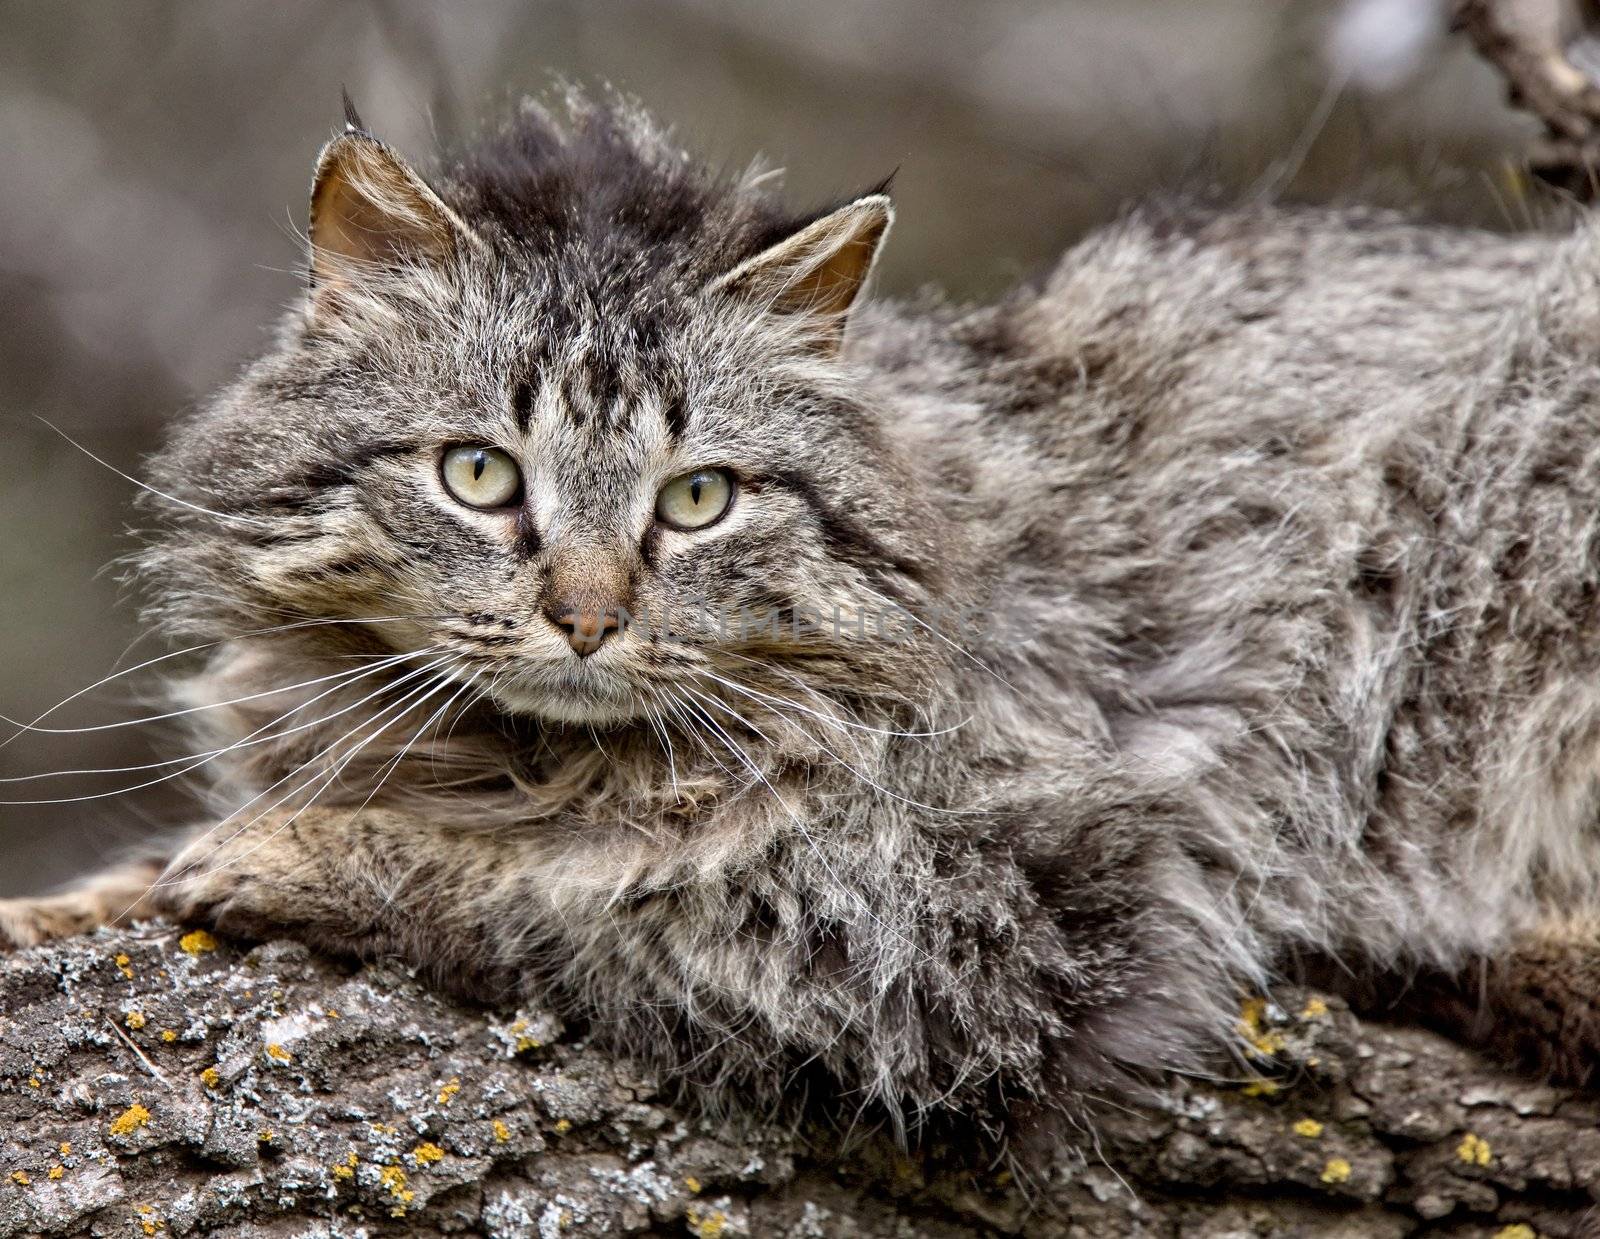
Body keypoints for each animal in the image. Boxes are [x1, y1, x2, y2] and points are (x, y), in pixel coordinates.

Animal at [3, 89, 1600, 1165]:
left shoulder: (983, 899)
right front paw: (69, 903)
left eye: (698, 499)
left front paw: (292, 852)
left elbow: (572, 886)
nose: (587, 617)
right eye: (480, 476)